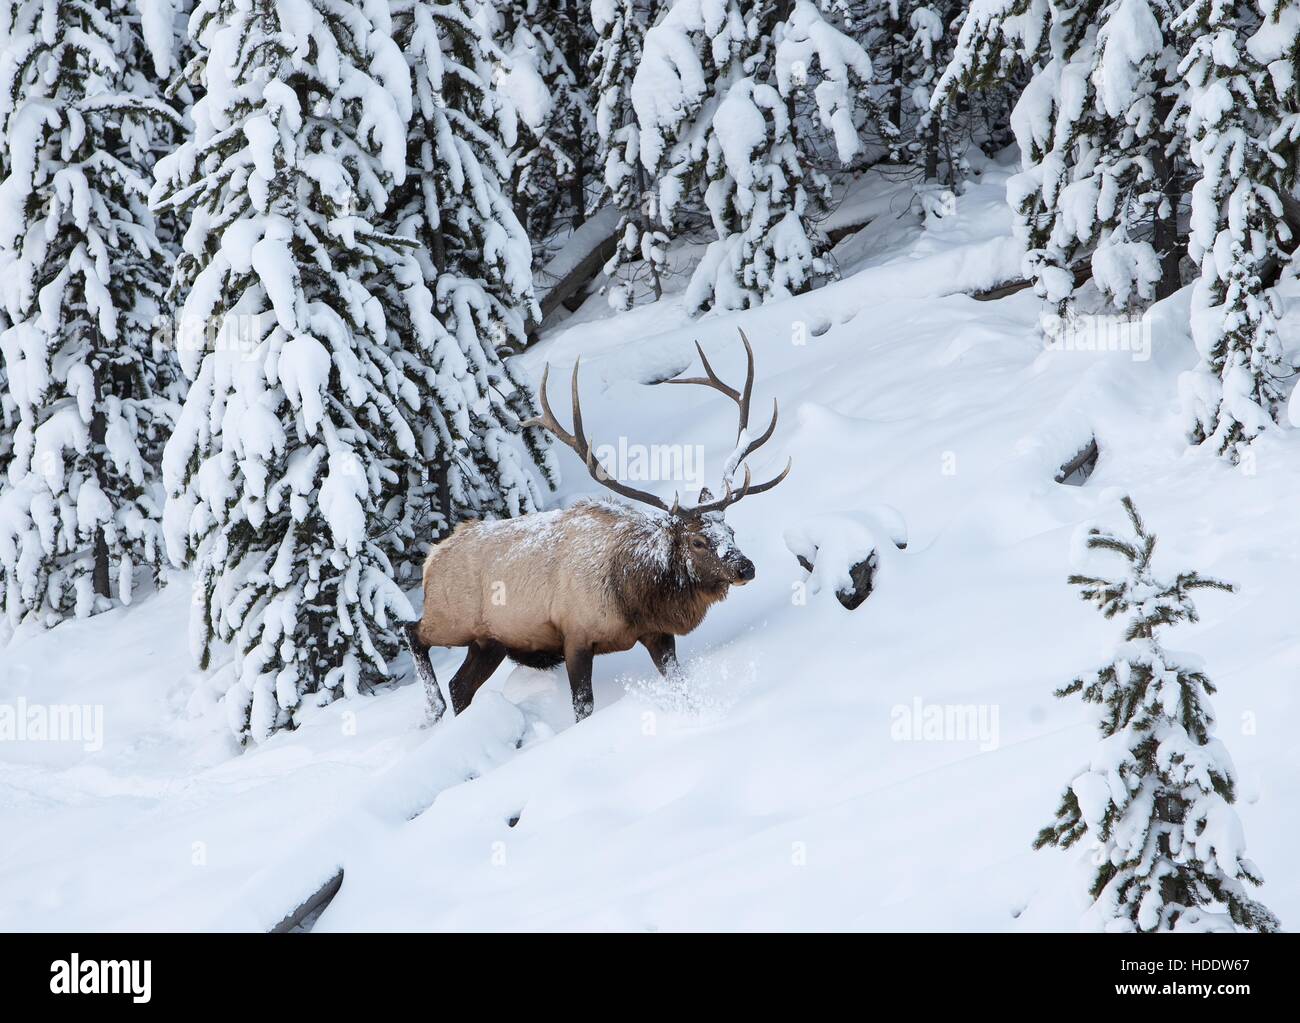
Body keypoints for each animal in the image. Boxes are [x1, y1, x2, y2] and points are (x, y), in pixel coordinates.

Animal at [403, 331, 790, 722]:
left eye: (731, 531)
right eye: (697, 541)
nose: (746, 567)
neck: (633, 594)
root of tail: (432, 558)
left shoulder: (657, 634)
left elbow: (676, 681)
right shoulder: (575, 635)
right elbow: (583, 706)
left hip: (489, 640)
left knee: (460, 685)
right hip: (450, 617)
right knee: (412, 631)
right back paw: (433, 709)